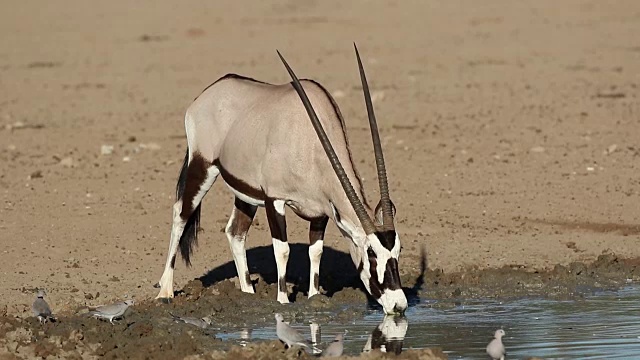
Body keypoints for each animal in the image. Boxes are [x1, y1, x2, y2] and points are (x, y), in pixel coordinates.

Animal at [154, 44, 404, 316]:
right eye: (371, 253)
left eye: (397, 250)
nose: (399, 305)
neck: (310, 140)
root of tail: (209, 92)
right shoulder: (275, 199)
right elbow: (282, 249)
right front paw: (283, 300)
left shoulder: (320, 210)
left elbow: (315, 251)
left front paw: (313, 296)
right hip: (203, 167)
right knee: (181, 215)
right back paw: (165, 291)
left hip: (246, 193)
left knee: (235, 232)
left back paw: (247, 293)